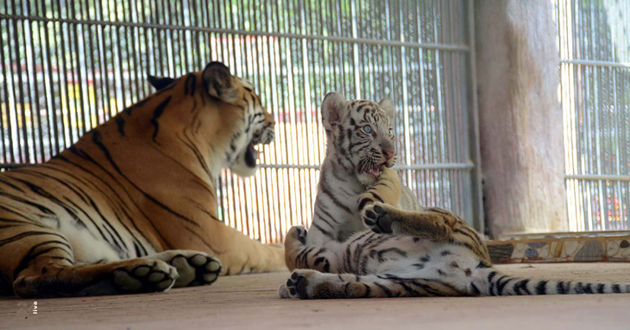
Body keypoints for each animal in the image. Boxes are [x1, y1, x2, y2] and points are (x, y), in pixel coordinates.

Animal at [0, 60, 286, 298]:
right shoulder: (212, 234)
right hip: (27, 227)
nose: (275, 121)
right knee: (37, 276)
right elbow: (264, 248)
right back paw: (145, 272)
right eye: (255, 97)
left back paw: (184, 265)